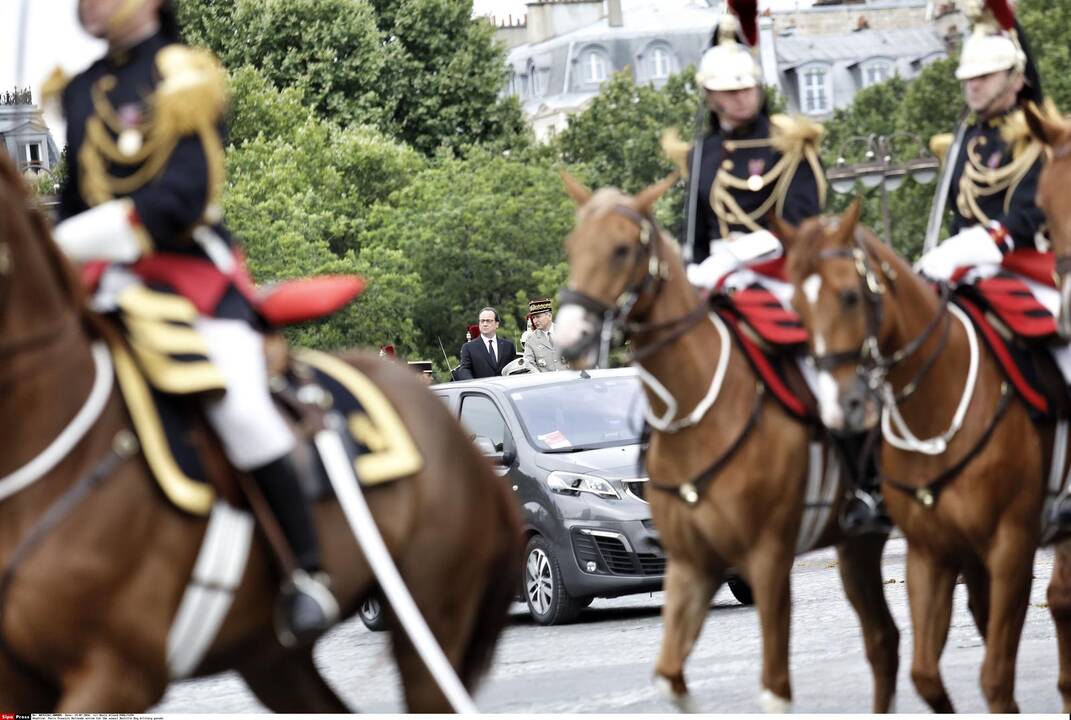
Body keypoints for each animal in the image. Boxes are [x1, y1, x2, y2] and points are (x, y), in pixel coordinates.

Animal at [552, 175, 903, 715]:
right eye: (571, 247)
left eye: (620, 250)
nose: (569, 337)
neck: (697, 413)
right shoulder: (691, 566)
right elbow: (669, 678)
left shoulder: (768, 559)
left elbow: (774, 690)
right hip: (858, 545)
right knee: (885, 641)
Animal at [779, 199, 1071, 711]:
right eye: (795, 305)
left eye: (851, 296)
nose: (841, 407)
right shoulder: (931, 553)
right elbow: (926, 675)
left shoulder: (1011, 546)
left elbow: (996, 677)